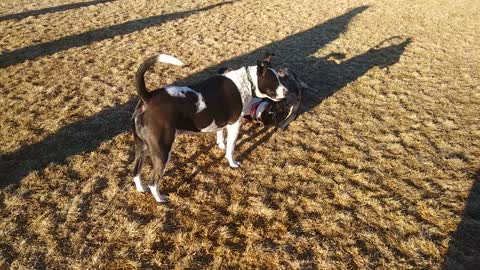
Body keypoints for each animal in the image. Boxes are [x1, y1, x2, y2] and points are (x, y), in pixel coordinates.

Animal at [131, 52, 286, 201]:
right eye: (275, 81)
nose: (286, 91)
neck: (248, 82)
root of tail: (147, 98)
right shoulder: (235, 125)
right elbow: (231, 148)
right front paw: (232, 162)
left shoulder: (221, 122)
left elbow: (220, 134)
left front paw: (220, 144)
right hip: (162, 151)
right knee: (153, 181)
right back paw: (160, 199)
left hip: (141, 147)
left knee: (136, 172)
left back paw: (141, 189)